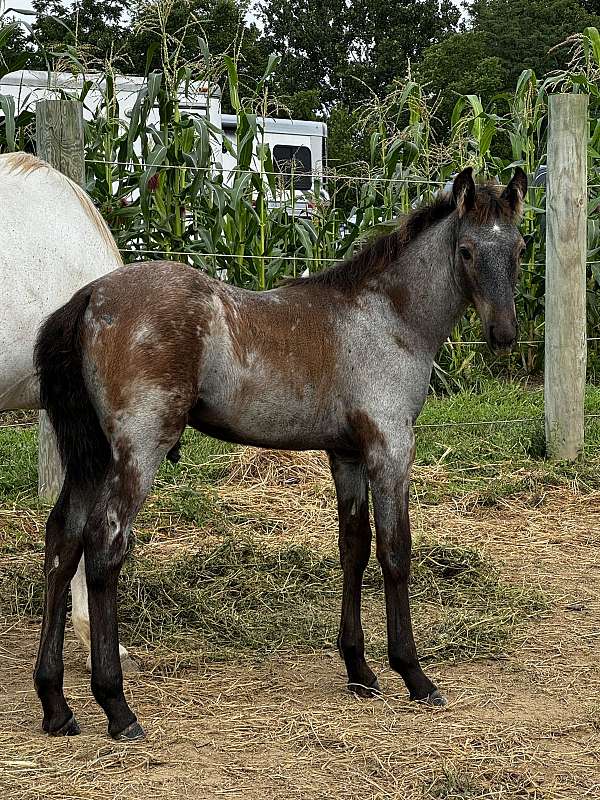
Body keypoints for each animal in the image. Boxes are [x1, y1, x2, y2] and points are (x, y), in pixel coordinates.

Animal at [35, 166, 528, 740]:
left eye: (519, 247)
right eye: (467, 250)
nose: (504, 333)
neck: (386, 319)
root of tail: (90, 296)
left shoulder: (347, 454)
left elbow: (354, 548)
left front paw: (359, 670)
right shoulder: (390, 449)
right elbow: (395, 552)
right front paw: (413, 674)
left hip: (91, 456)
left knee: (62, 541)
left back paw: (55, 704)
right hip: (137, 450)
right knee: (104, 544)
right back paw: (116, 706)